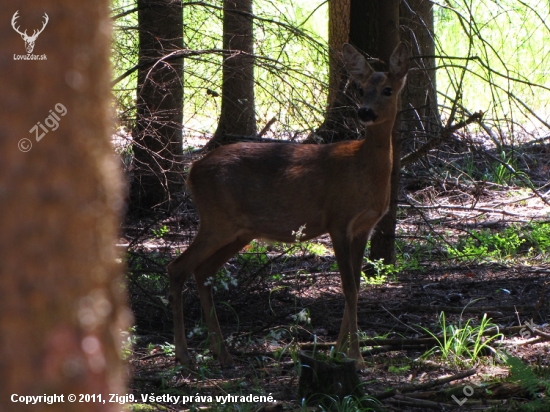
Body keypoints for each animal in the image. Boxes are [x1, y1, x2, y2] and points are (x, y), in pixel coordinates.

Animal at [168, 42, 410, 370]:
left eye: (387, 89)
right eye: (361, 89)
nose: (365, 112)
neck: (364, 169)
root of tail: (192, 171)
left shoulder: (364, 226)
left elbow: (357, 287)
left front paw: (338, 352)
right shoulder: (337, 220)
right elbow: (348, 287)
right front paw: (356, 357)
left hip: (239, 231)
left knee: (202, 271)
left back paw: (222, 352)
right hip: (216, 219)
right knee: (177, 267)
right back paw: (184, 354)